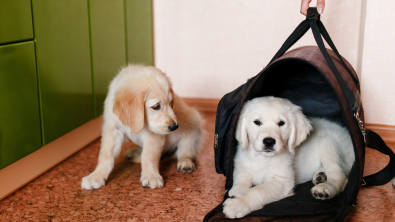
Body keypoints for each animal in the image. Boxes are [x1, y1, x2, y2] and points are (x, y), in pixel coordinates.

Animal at [223, 97, 356, 219]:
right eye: (257, 122)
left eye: (281, 123)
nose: (269, 142)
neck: (262, 158)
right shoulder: (241, 164)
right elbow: (241, 177)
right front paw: (238, 190)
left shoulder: (281, 180)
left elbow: (257, 191)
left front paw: (238, 204)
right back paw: (321, 176)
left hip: (328, 143)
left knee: (340, 176)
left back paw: (325, 187)